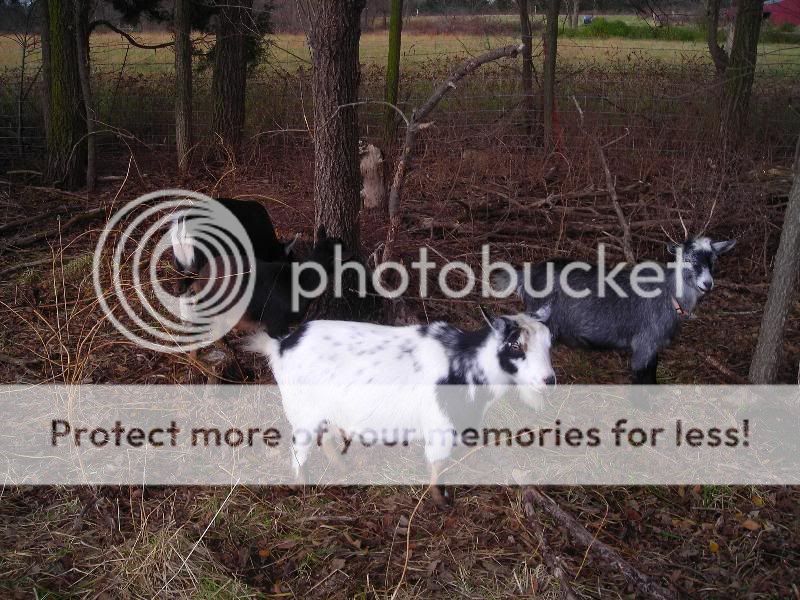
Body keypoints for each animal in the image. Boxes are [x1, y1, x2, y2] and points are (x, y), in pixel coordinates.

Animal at [244, 307, 555, 506]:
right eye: (515, 345)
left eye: (550, 343)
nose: (548, 380)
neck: (465, 364)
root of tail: (280, 346)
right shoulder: (440, 427)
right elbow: (437, 464)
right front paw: (441, 502)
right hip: (302, 411)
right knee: (299, 449)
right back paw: (302, 484)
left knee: (326, 439)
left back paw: (343, 468)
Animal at [495, 236, 735, 384]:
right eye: (687, 259)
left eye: (713, 260)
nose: (707, 284)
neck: (670, 294)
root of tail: (526, 274)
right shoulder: (645, 342)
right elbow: (644, 375)